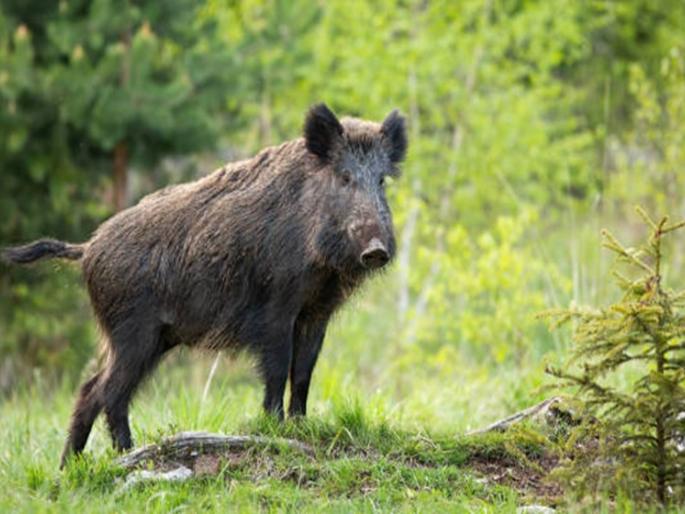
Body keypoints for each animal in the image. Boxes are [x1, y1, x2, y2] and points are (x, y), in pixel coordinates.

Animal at [2, 103, 408, 467]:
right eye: (344, 177)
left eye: (381, 180)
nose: (376, 249)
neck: (320, 266)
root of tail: (87, 249)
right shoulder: (275, 307)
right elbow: (278, 369)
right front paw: (275, 429)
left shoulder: (316, 312)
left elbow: (304, 372)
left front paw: (301, 427)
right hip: (133, 332)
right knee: (108, 391)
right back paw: (127, 455)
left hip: (151, 338)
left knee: (92, 390)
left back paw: (71, 467)